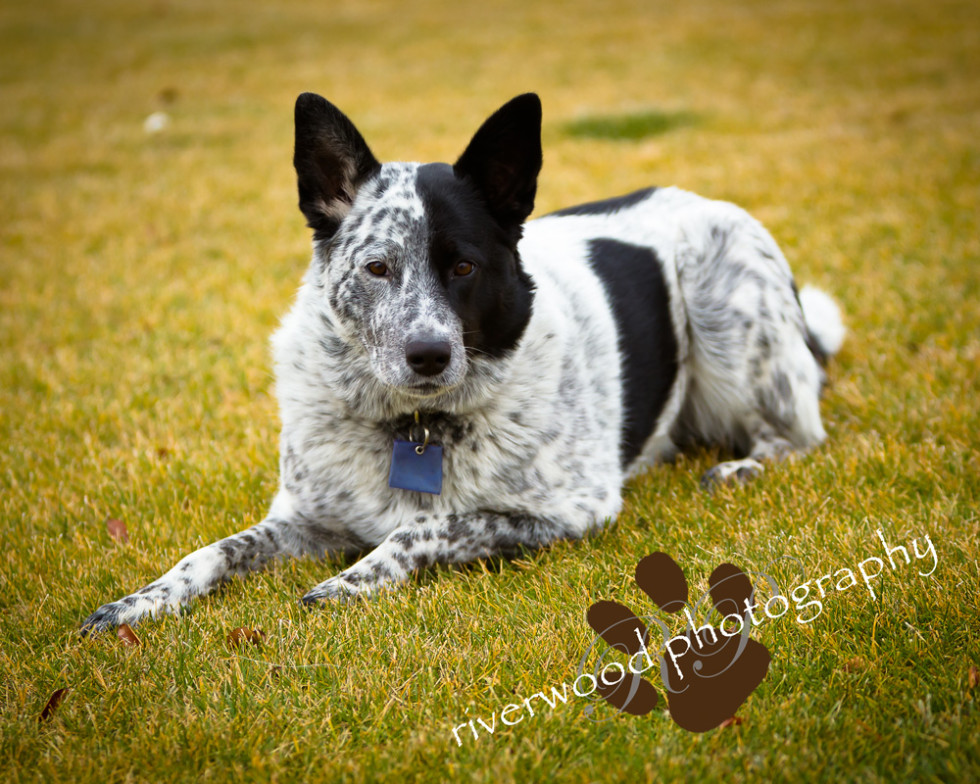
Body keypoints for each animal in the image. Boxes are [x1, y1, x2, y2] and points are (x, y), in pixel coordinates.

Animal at [82, 92, 844, 632]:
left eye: (464, 266)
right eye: (378, 267)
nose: (428, 355)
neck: (412, 426)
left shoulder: (569, 511)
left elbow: (426, 526)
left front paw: (351, 581)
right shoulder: (306, 516)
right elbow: (211, 551)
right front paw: (141, 601)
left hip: (728, 320)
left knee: (799, 434)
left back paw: (740, 468)